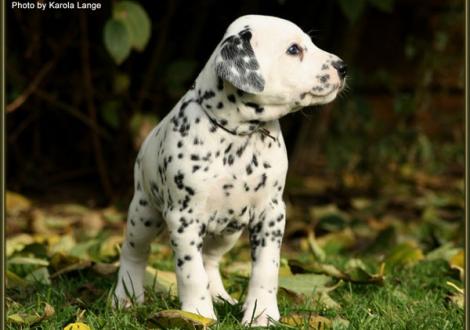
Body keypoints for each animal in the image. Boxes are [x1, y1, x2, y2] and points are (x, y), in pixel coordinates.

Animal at [114, 14, 346, 324]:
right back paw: (126, 296)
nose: (342, 67)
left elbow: (266, 269)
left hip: (227, 233)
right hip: (143, 214)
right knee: (134, 252)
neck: (240, 136)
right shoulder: (184, 219)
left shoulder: (271, 215)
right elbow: (191, 273)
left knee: (211, 260)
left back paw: (220, 296)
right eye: (294, 49)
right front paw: (198, 313)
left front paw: (261, 314)